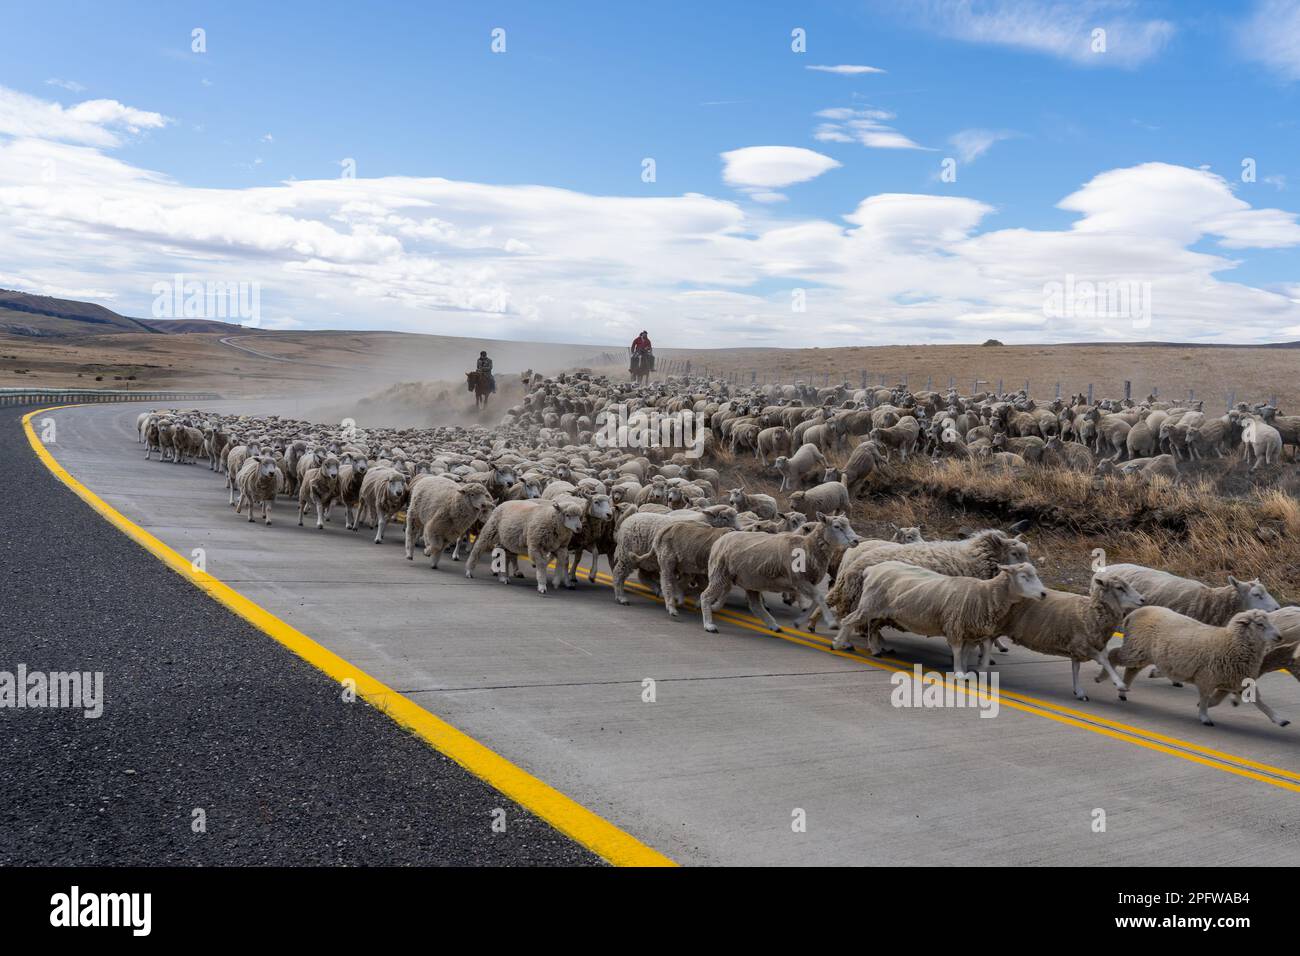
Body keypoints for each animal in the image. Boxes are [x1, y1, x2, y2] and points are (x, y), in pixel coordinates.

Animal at [698, 514, 860, 634]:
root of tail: (721, 539)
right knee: (705, 596)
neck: (807, 546)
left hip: (749, 580)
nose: (856, 541)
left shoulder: (808, 582)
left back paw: (773, 625)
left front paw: (798, 622)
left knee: (755, 606)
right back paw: (709, 624)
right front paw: (832, 623)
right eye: (837, 527)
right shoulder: (799, 581)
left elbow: (817, 601)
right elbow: (819, 598)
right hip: (719, 573)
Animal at [835, 561, 1047, 679]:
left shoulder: (973, 632)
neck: (984, 594)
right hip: (869, 604)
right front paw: (960, 673)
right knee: (849, 620)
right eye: (1023, 576)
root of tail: (871, 569)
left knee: (871, 626)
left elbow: (972, 653)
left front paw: (974, 670)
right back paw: (840, 644)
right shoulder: (955, 625)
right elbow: (957, 650)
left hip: (881, 609)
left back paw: (876, 649)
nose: (1044, 594)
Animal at [997, 571, 1145, 700]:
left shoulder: (1077, 646)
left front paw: (1079, 692)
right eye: (1119, 587)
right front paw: (1120, 684)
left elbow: (1076, 668)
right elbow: (1103, 659)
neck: (1090, 613)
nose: (1142, 599)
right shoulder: (1081, 644)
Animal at [1106, 607, 1286, 726]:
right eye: (1260, 624)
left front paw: (1279, 719)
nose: (1279, 637)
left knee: (1131, 670)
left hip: (1140, 653)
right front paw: (1204, 716)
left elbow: (1257, 700)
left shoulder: (1234, 679)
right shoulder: (1207, 677)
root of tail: (1133, 613)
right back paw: (1111, 680)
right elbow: (1205, 697)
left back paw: (1123, 691)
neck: (1231, 642)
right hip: (1135, 649)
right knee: (1113, 655)